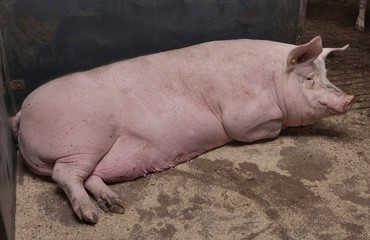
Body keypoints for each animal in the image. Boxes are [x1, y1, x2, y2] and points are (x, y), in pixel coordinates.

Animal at [12, 36, 356, 224]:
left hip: (97, 153)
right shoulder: (241, 121)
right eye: (308, 78)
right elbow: (264, 127)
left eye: (326, 74)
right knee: (66, 176)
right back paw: (91, 216)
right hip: (82, 144)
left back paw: (117, 205)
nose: (350, 99)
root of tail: (21, 114)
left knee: (90, 176)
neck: (270, 81)